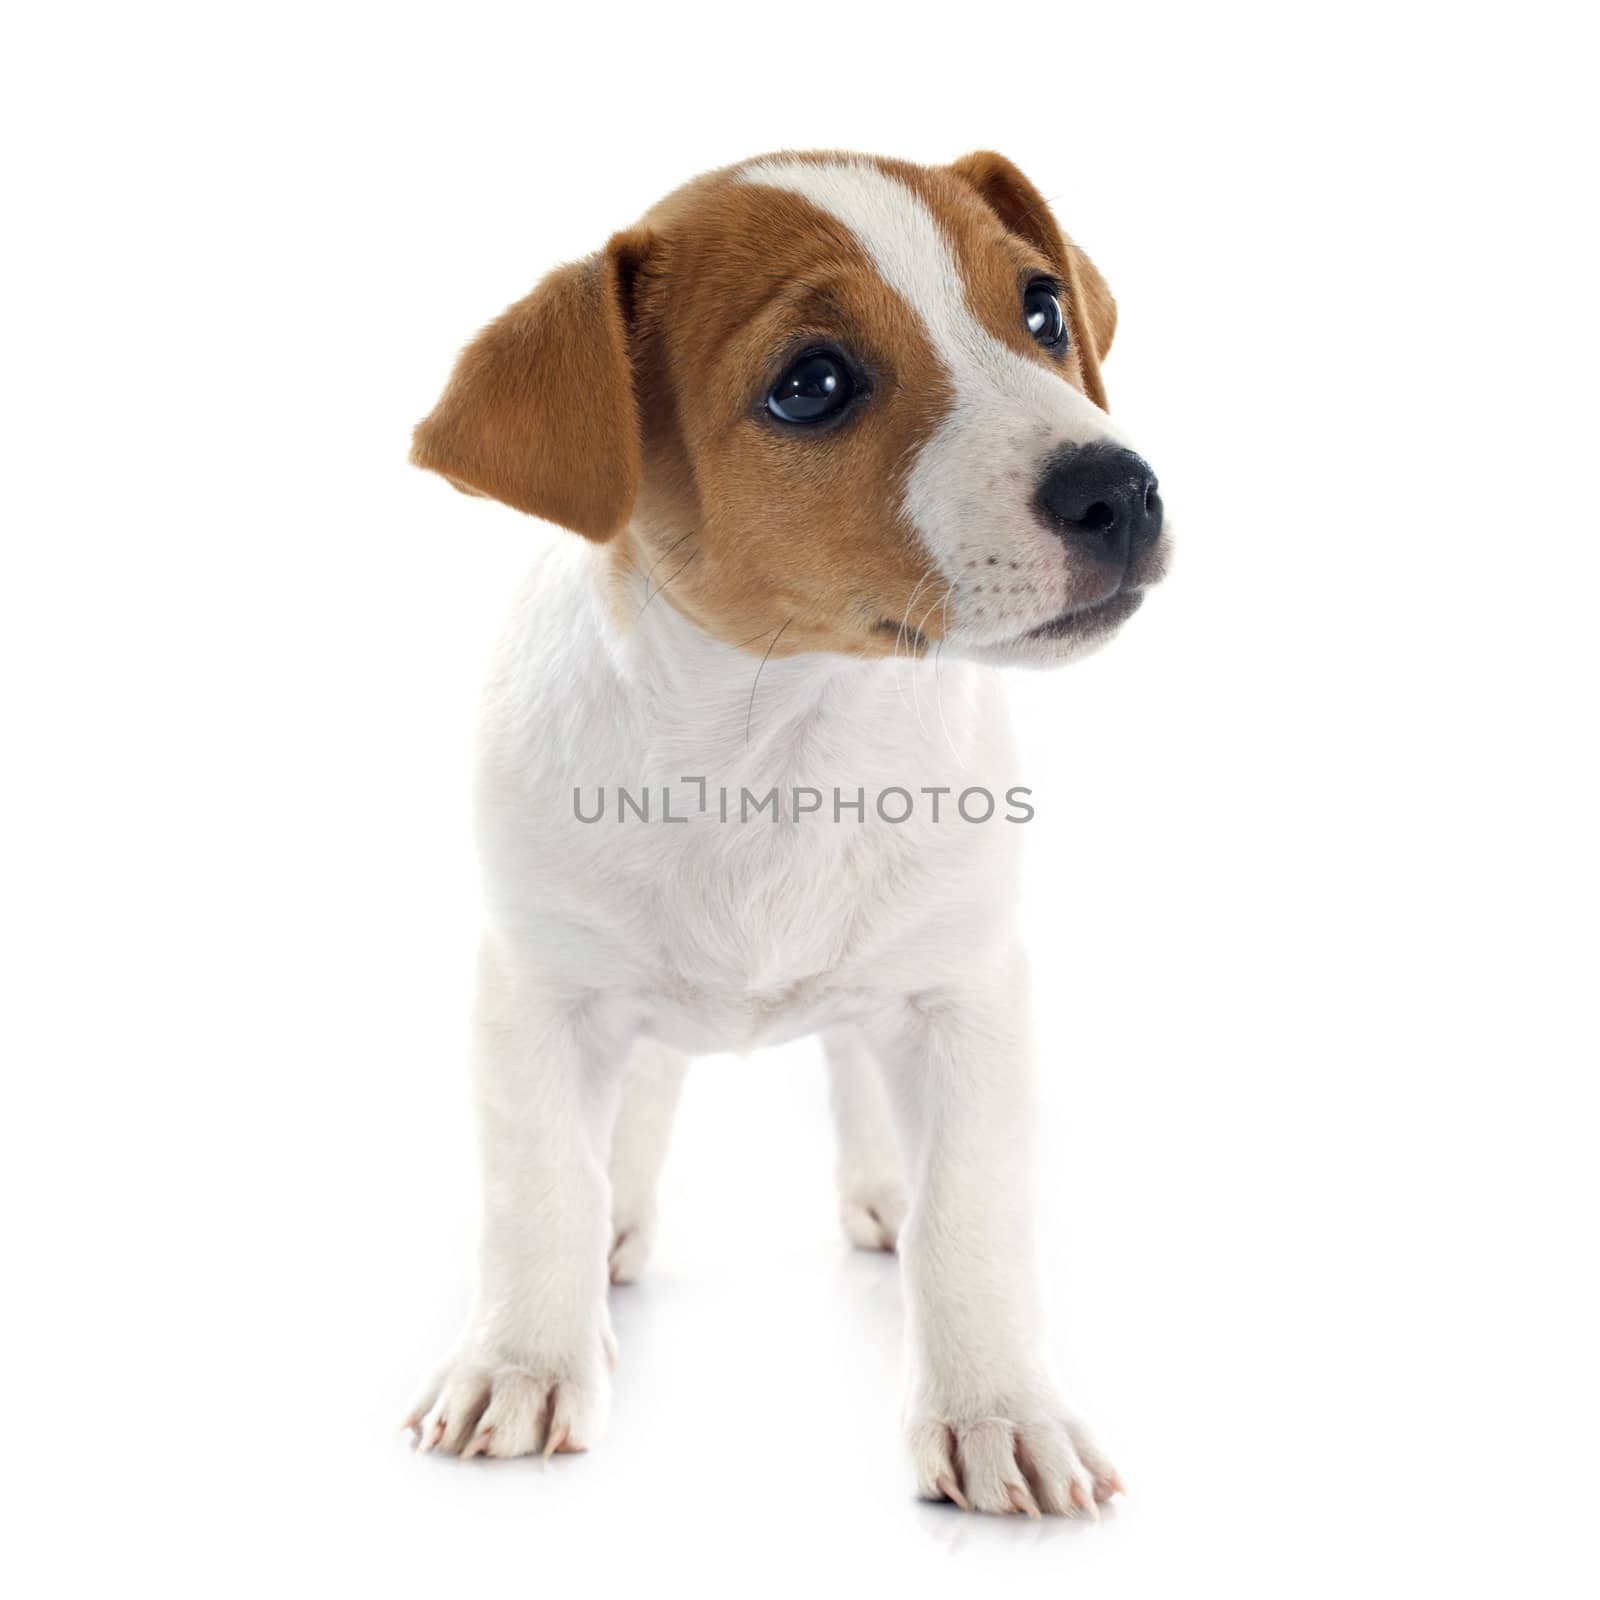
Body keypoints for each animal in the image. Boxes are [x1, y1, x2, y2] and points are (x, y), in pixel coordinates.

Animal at [406, 147, 1171, 1510]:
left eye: (1039, 309)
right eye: (811, 384)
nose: (1121, 490)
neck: (783, 746)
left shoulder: (969, 995)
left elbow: (969, 1212)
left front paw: (998, 1407)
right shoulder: (531, 994)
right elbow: (540, 1183)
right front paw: (523, 1360)